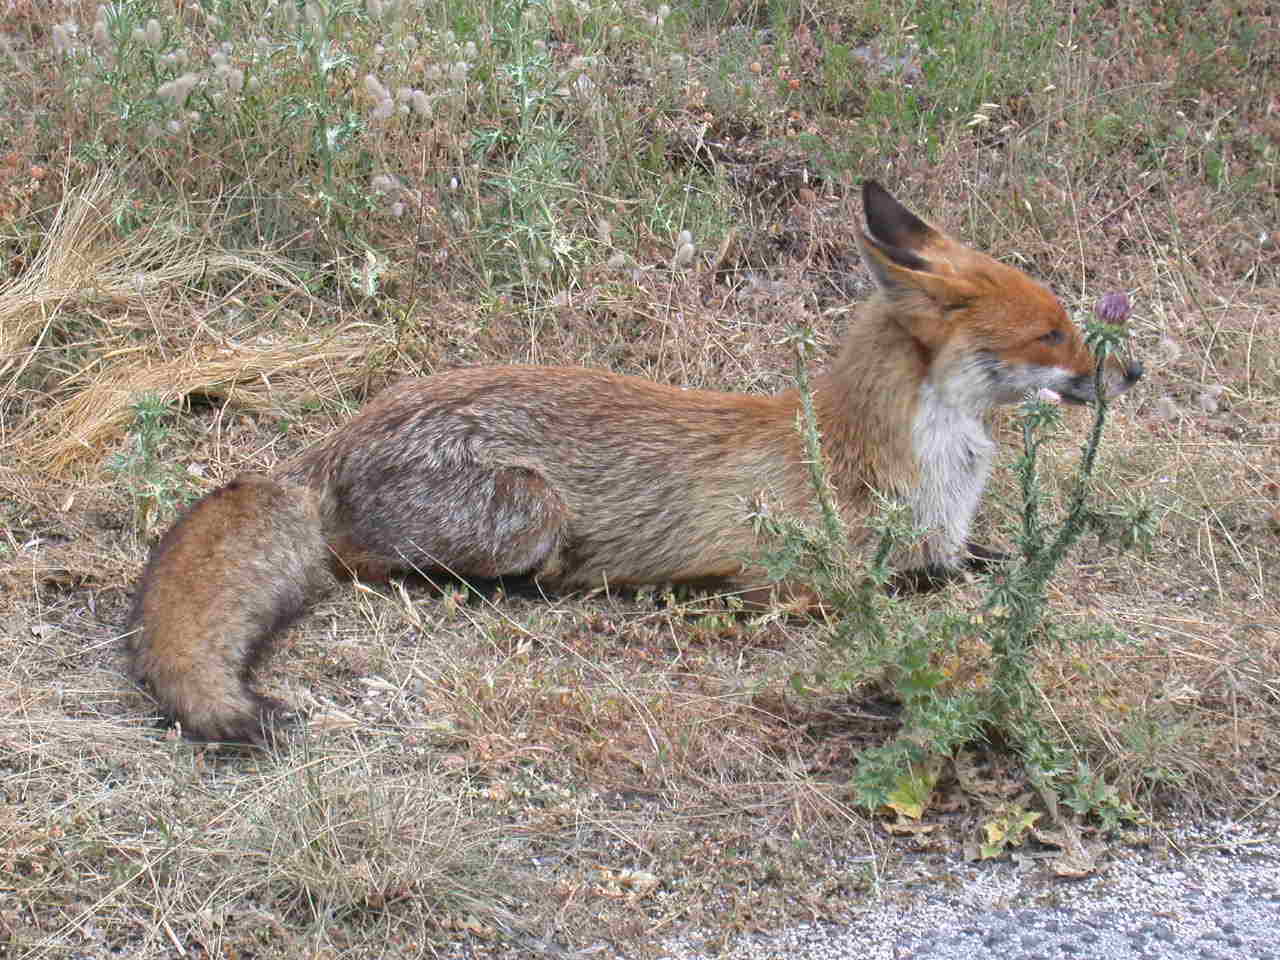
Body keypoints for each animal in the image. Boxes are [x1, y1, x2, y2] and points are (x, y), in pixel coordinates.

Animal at [122, 184, 1141, 747]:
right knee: (373, 564)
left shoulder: (949, 543)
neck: (921, 475)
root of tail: (333, 440)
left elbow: (976, 564)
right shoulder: (788, 581)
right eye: (1052, 333)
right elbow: (899, 586)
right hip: (528, 514)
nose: (1132, 372)